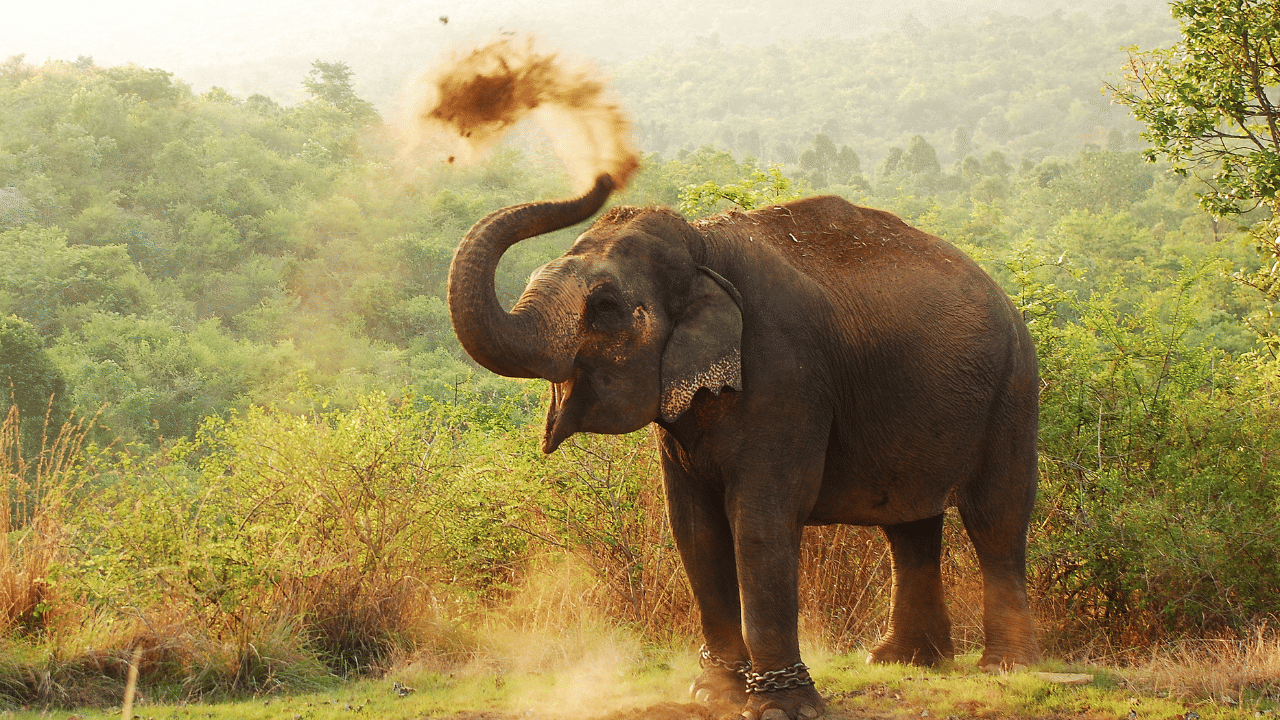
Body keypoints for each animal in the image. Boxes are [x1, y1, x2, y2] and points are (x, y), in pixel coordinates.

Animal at [446, 174, 1039, 720]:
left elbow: (760, 520)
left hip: (1014, 386)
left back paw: (1005, 667)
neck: (703, 247)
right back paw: (902, 661)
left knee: (996, 516)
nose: (606, 176)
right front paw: (714, 693)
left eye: (607, 306)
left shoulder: (787, 372)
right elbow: (694, 527)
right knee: (910, 525)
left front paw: (780, 707)